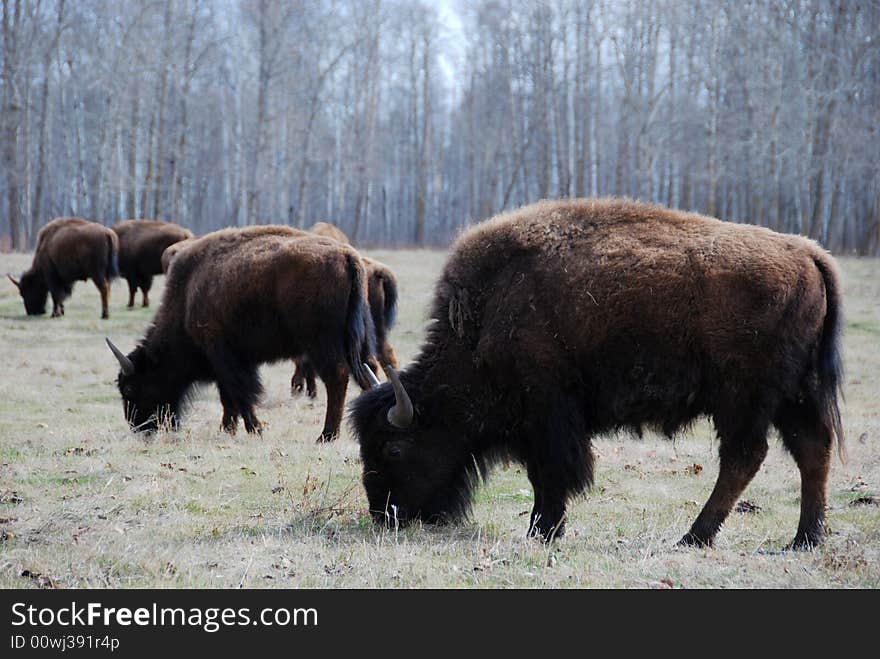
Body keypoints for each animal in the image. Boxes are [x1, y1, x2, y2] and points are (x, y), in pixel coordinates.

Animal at [105, 227, 374, 444]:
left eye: (131, 388)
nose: (139, 428)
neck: (188, 297)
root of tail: (347, 256)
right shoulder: (227, 362)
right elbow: (228, 397)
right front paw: (228, 429)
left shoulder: (225, 356)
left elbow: (239, 393)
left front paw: (255, 429)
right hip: (355, 341)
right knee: (366, 373)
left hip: (322, 343)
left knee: (337, 377)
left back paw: (327, 435)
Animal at [350, 200, 844, 552]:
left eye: (394, 449)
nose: (385, 515)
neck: (484, 317)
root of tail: (808, 253)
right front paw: (545, 530)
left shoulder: (547, 412)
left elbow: (549, 473)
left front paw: (543, 531)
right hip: (794, 395)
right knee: (811, 450)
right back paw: (803, 539)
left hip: (743, 397)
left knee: (745, 456)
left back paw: (694, 537)